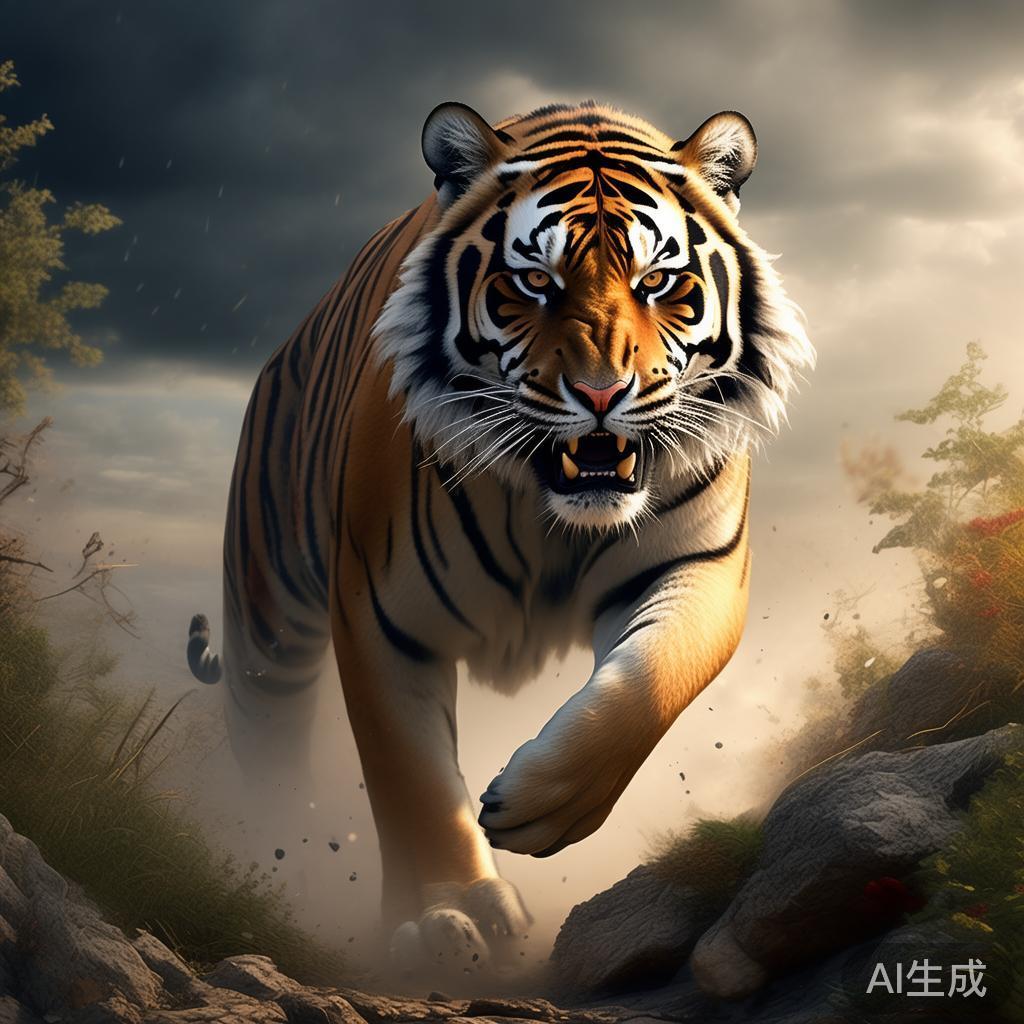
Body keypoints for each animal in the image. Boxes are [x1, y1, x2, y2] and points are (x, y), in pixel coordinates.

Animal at [186, 99, 813, 970]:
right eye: (534, 281)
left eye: (657, 281)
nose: (601, 393)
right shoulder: (381, 613)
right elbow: (408, 776)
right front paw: (446, 913)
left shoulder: (700, 565)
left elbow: (653, 680)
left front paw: (544, 803)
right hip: (267, 629)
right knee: (269, 754)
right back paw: (276, 861)